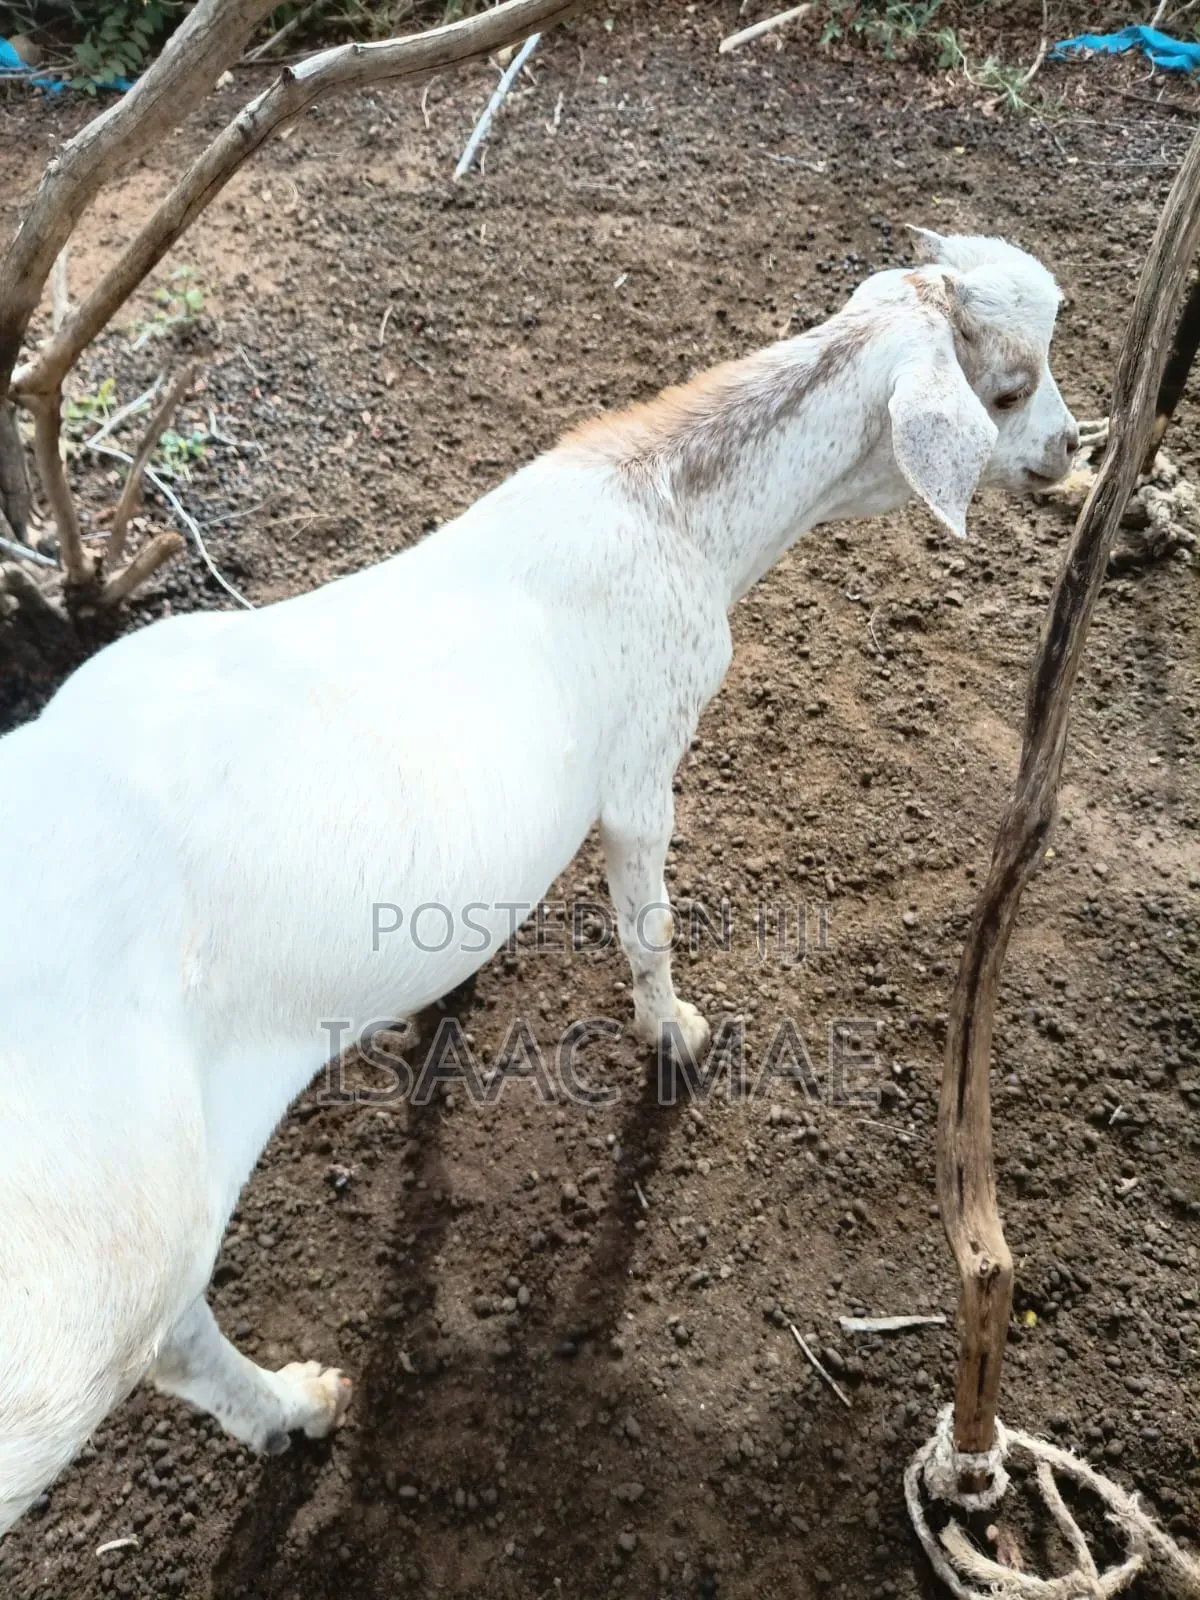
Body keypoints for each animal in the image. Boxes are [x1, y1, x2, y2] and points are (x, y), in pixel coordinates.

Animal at [0, 228, 1078, 1535]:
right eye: (1009, 387)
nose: (1075, 451)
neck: (675, 511)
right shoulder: (644, 759)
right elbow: (647, 920)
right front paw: (675, 1033)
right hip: (96, 1267)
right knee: (170, 1338)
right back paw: (295, 1407)